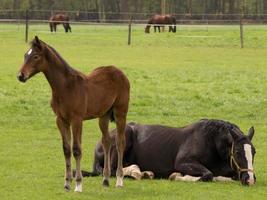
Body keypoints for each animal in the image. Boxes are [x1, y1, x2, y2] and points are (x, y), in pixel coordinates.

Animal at [17, 36, 131, 192]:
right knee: (106, 141)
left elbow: (76, 149)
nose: (20, 76)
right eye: (25, 55)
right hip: (104, 115)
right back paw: (106, 179)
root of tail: (119, 72)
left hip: (120, 113)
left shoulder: (76, 120)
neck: (65, 87)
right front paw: (67, 183)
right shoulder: (61, 120)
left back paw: (119, 180)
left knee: (120, 142)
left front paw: (78, 184)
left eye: (35, 56)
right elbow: (66, 149)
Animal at [80, 119, 256, 186]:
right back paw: (137, 172)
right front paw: (179, 176)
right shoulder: (183, 162)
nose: (250, 179)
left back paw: (144, 172)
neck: (210, 141)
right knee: (113, 170)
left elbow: (225, 175)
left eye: (253, 152)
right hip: (124, 137)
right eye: (238, 152)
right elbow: (208, 175)